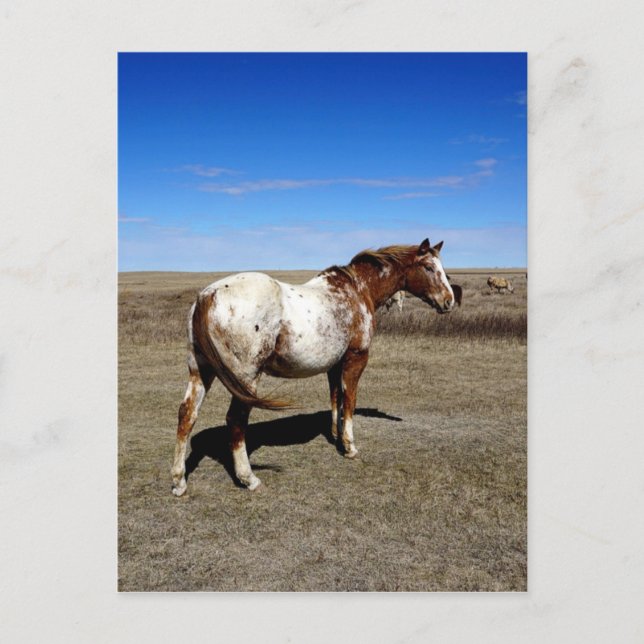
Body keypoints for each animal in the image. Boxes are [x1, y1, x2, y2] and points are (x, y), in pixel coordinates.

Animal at [171, 238, 456, 494]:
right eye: (429, 268)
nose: (449, 300)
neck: (357, 290)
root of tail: (208, 295)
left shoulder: (334, 364)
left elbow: (335, 398)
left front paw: (335, 435)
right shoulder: (355, 359)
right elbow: (349, 400)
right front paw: (349, 447)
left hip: (201, 372)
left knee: (187, 415)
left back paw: (179, 481)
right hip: (246, 379)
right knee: (236, 420)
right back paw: (248, 478)